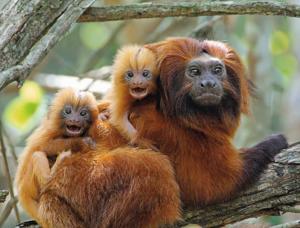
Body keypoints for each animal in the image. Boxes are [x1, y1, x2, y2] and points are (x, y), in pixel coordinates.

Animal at [15, 87, 98, 223]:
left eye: (83, 113)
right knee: (37, 155)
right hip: (28, 186)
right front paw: (80, 142)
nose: (74, 120)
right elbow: (42, 146)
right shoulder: (50, 131)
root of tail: (23, 195)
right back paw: (52, 172)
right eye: (68, 111)